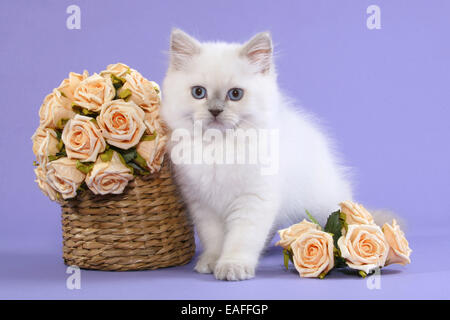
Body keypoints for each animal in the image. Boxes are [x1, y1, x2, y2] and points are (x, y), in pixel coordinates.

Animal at [160, 29, 354, 280]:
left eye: (235, 94)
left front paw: (232, 267)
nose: (215, 111)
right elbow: (214, 240)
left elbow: (240, 240)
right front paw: (211, 262)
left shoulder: (253, 200)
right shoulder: (203, 206)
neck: (219, 147)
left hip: (324, 199)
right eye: (198, 92)